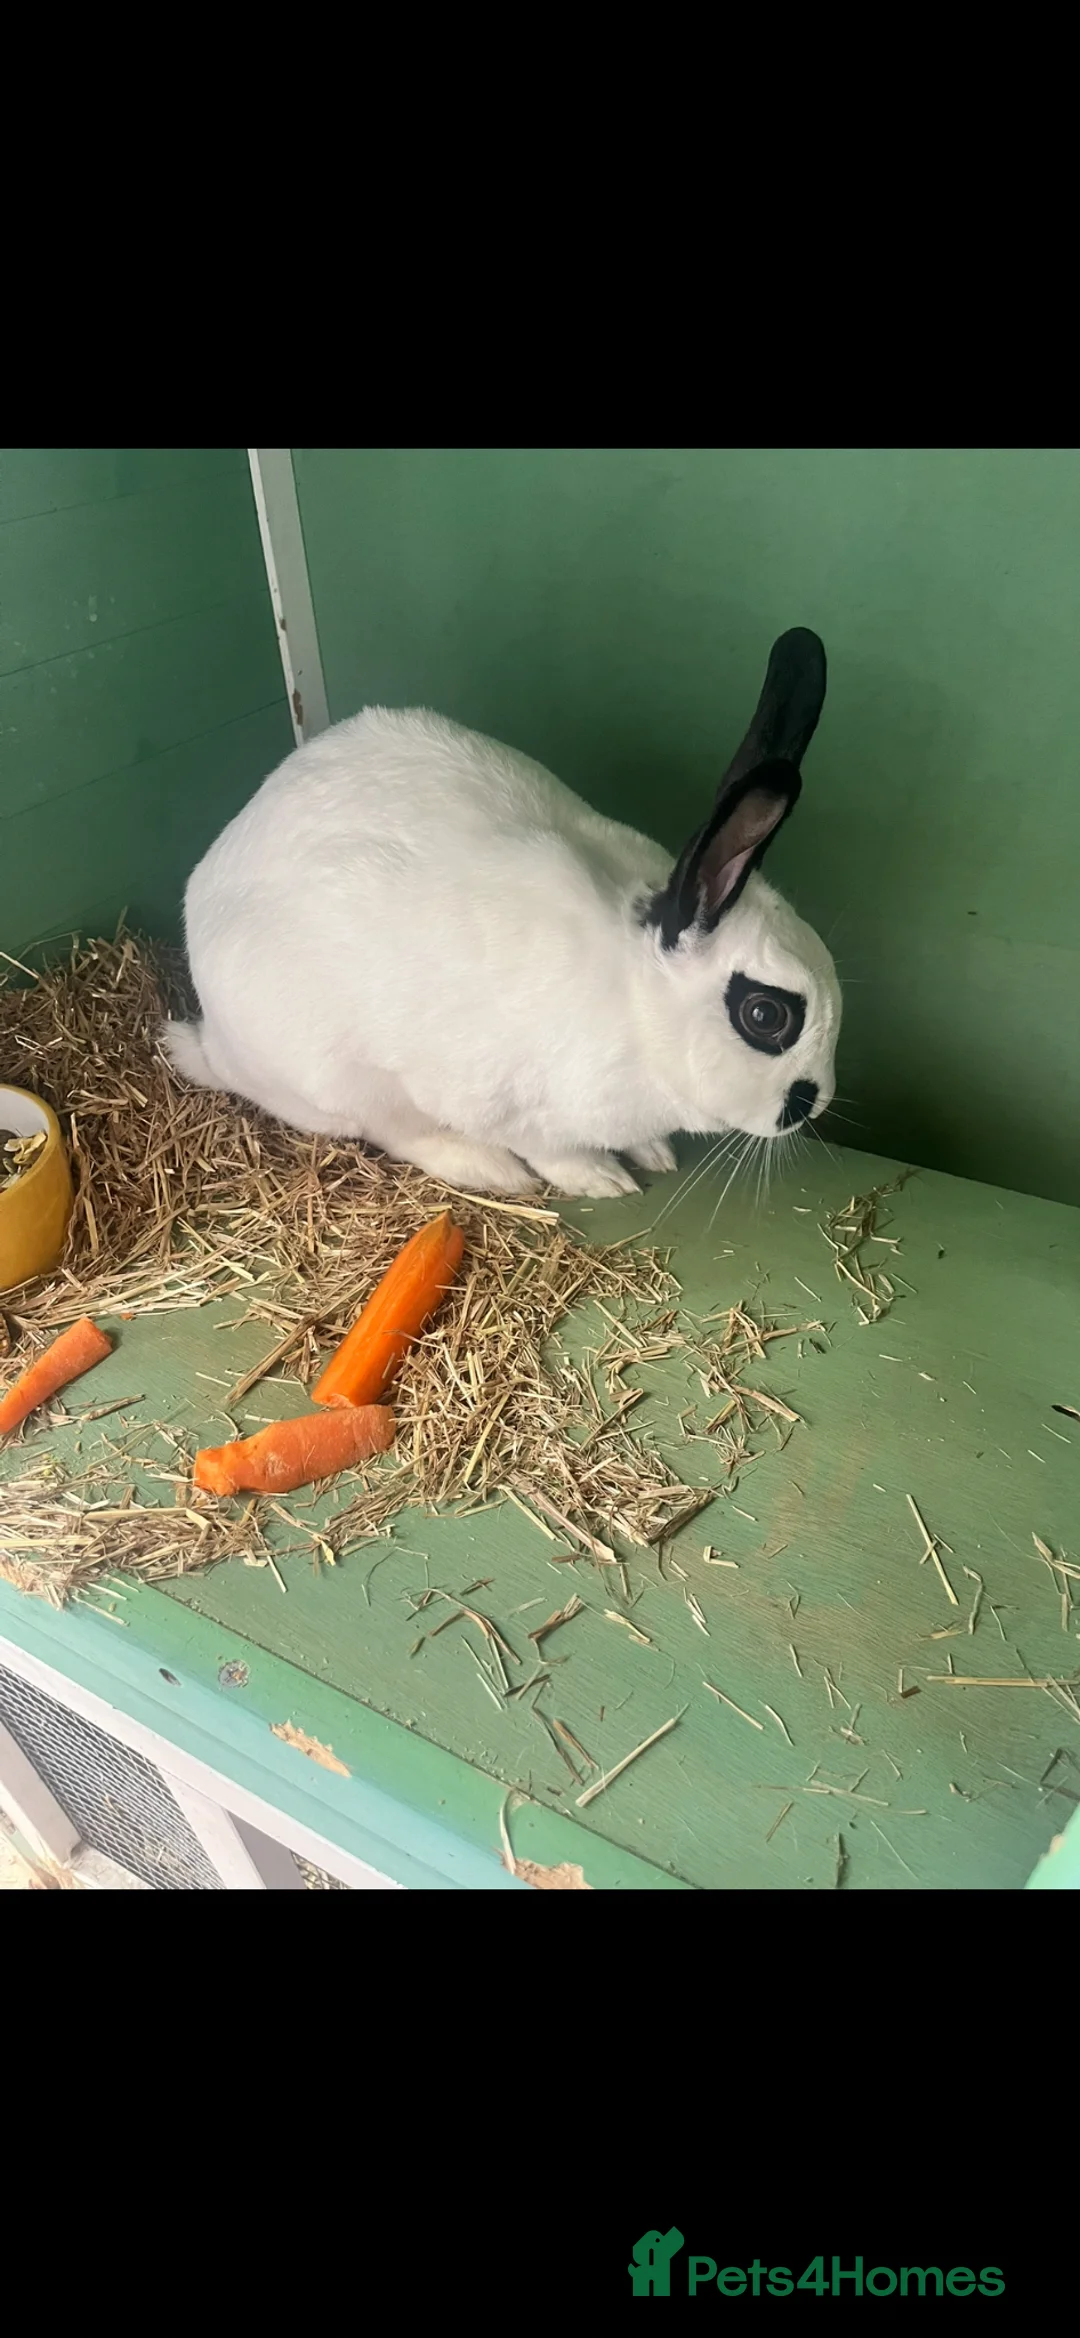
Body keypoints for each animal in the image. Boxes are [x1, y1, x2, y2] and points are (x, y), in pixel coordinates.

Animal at [163, 627, 841, 1198]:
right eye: (765, 1015)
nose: (818, 1101)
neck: (637, 1005)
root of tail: (215, 1042)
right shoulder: (494, 1099)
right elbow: (551, 1149)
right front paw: (602, 1180)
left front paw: (653, 1153)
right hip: (342, 1078)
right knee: (399, 1132)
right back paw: (492, 1171)